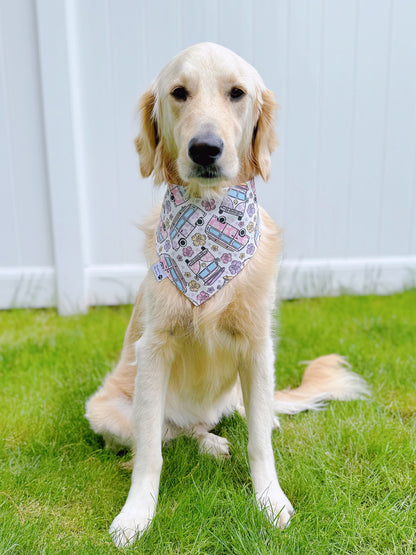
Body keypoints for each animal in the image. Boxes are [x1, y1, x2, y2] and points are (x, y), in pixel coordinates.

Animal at [83, 43, 368, 548]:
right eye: (179, 92)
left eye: (237, 93)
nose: (205, 148)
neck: (208, 222)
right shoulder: (152, 350)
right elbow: (150, 452)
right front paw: (136, 516)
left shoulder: (257, 346)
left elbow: (259, 444)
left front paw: (270, 500)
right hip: (104, 410)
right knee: (172, 434)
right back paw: (211, 443)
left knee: (240, 417)